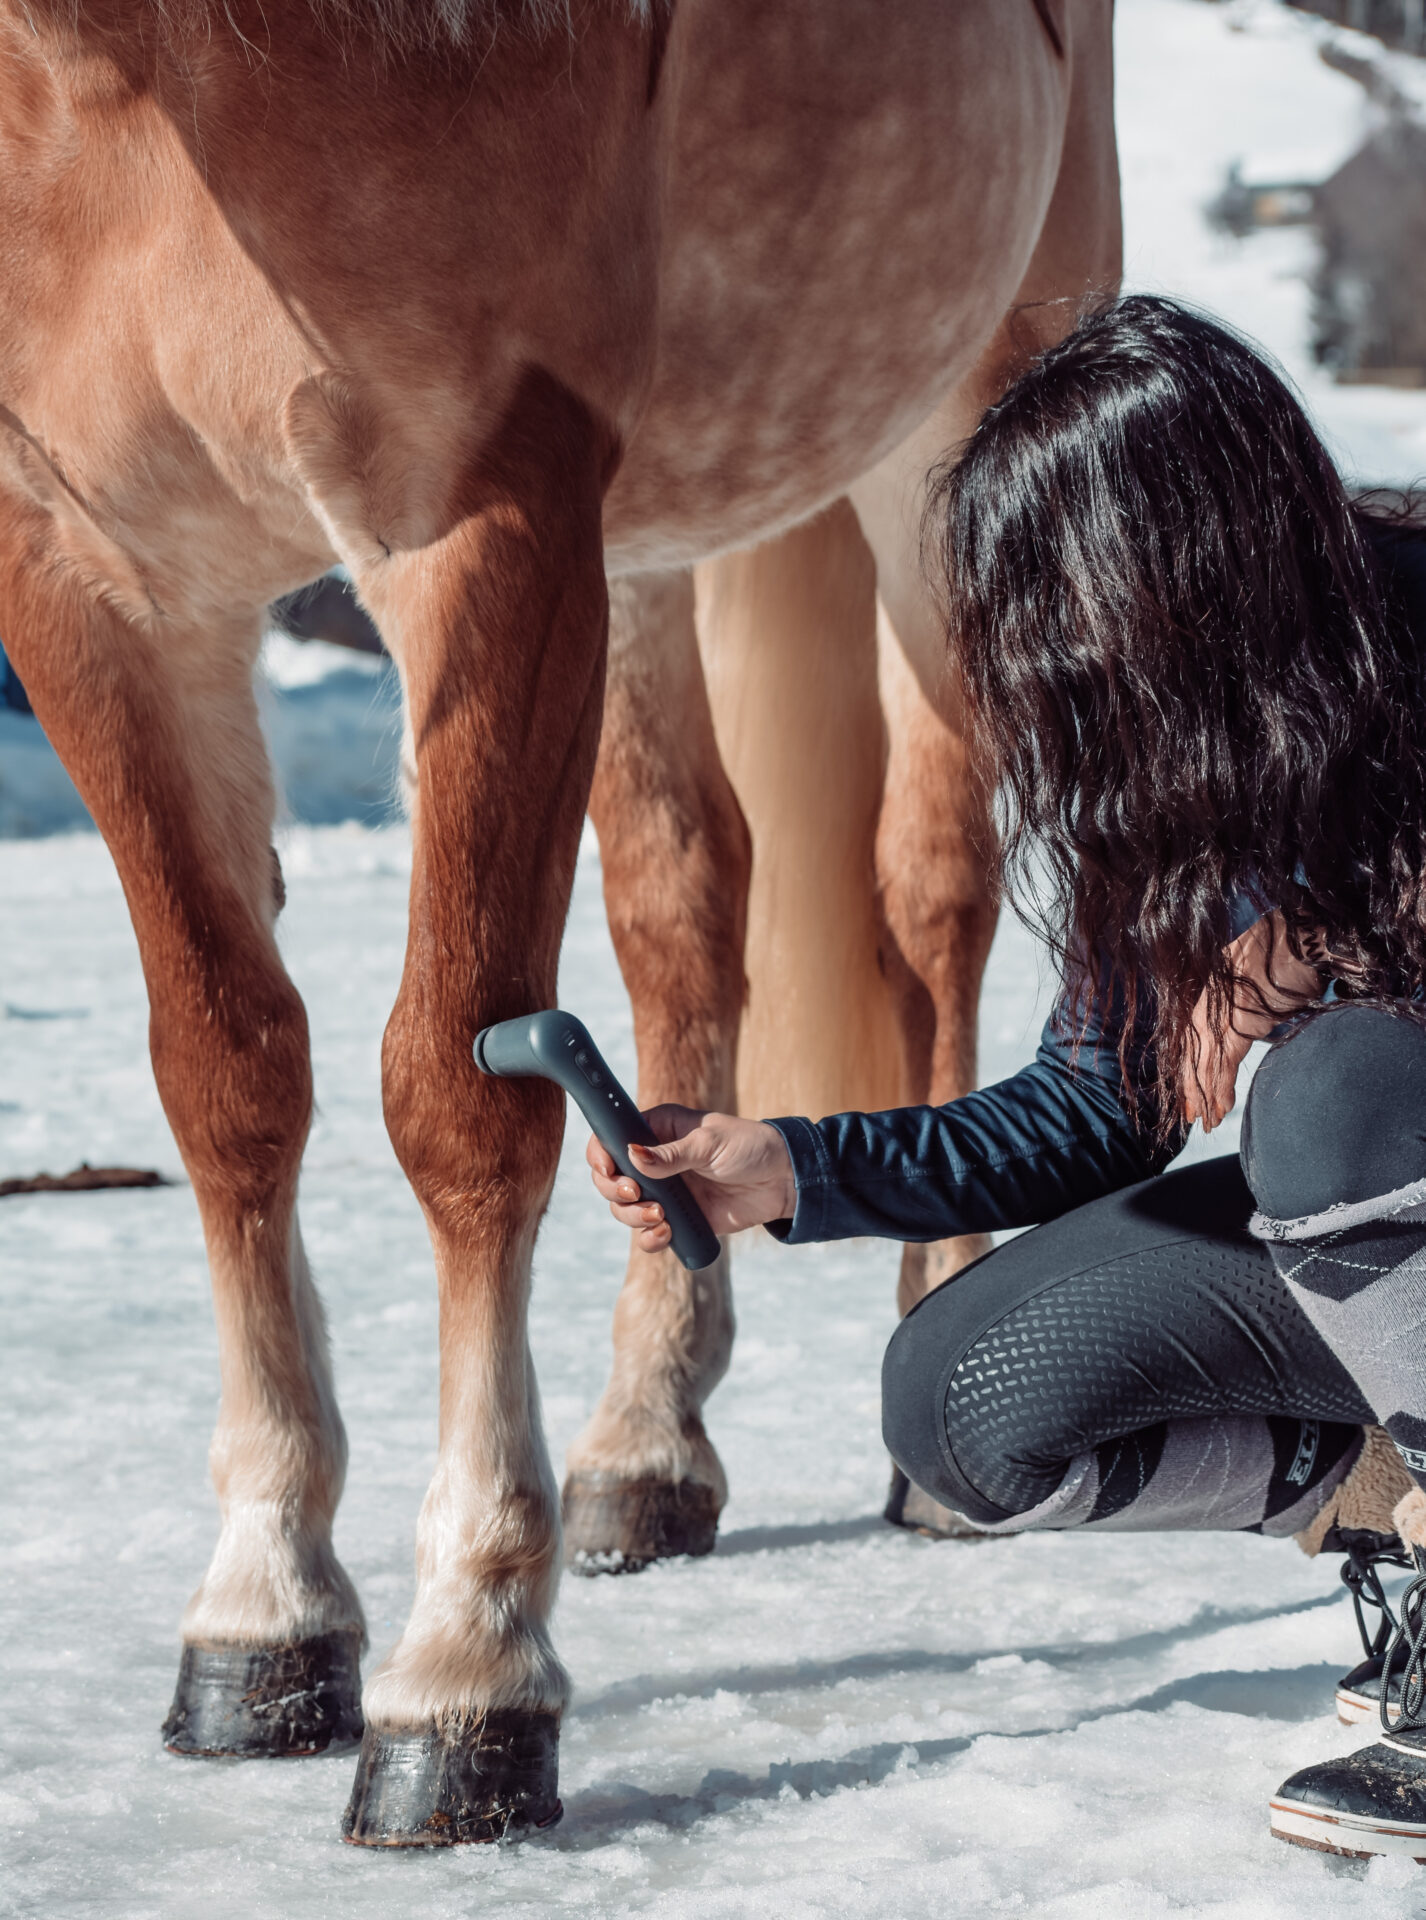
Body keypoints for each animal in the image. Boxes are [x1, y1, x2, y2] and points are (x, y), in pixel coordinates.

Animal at [0, 0, 1113, 1843]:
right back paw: (645, 1443)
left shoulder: (488, 523)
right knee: (687, 899)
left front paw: (465, 1675)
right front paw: (263, 1610)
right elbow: (228, 1072)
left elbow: (459, 1099)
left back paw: (943, 1364)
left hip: (949, 442)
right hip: (648, 550)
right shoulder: (99, 579)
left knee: (937, 886)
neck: (135, 86)